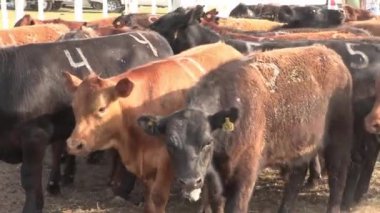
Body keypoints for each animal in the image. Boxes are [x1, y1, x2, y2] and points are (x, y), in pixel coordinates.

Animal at [62, 42, 240, 212]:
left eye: (101, 108)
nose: (74, 144)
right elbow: (148, 197)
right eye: (74, 106)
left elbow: (158, 197)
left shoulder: (166, 161)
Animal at [139, 45, 354, 213]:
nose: (190, 182)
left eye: (207, 142)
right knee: (296, 178)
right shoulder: (213, 181)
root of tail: (331, 56)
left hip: (338, 141)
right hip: (300, 147)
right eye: (170, 144)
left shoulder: (245, 175)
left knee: (337, 177)